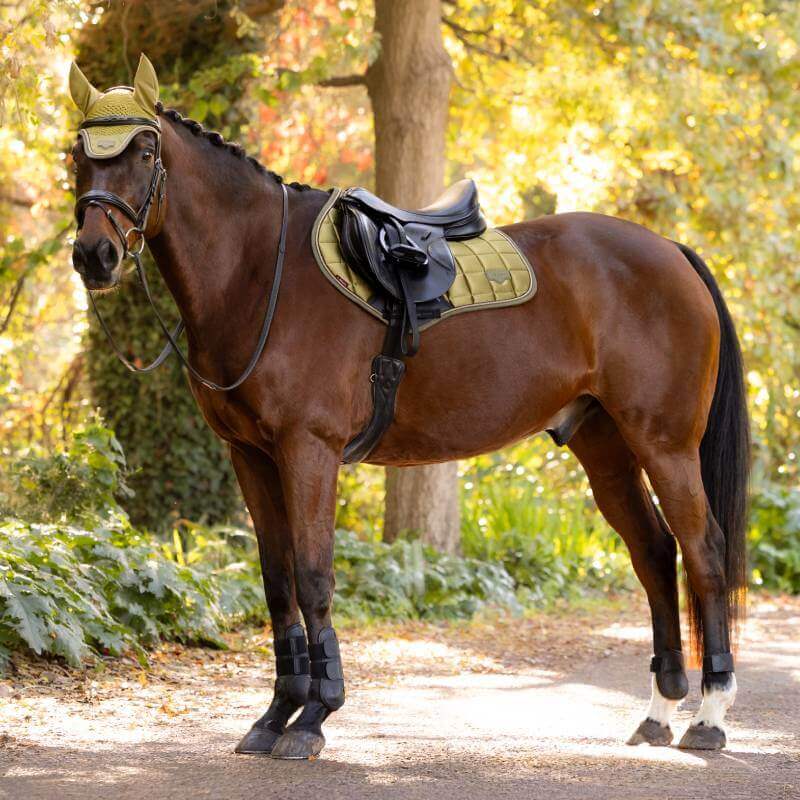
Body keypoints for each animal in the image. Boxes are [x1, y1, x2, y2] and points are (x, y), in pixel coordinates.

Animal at [68, 56, 749, 760]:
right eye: (77, 154)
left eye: (145, 151)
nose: (95, 255)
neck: (260, 271)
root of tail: (670, 251)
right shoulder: (251, 457)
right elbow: (278, 582)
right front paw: (276, 714)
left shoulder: (308, 450)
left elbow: (313, 576)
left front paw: (314, 716)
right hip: (607, 447)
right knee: (655, 552)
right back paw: (659, 711)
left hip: (666, 445)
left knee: (704, 553)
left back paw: (709, 715)